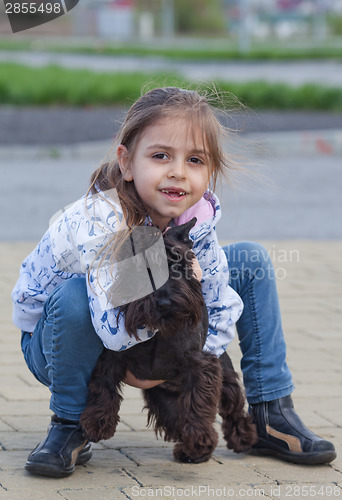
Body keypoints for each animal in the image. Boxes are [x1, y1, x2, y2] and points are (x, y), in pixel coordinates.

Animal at [80, 217, 256, 462]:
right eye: (143, 270)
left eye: (176, 266)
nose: (164, 303)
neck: (160, 331)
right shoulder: (111, 355)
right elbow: (103, 386)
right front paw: (97, 422)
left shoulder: (202, 366)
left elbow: (198, 405)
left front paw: (199, 441)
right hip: (162, 398)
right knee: (176, 418)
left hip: (225, 374)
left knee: (233, 407)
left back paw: (239, 439)